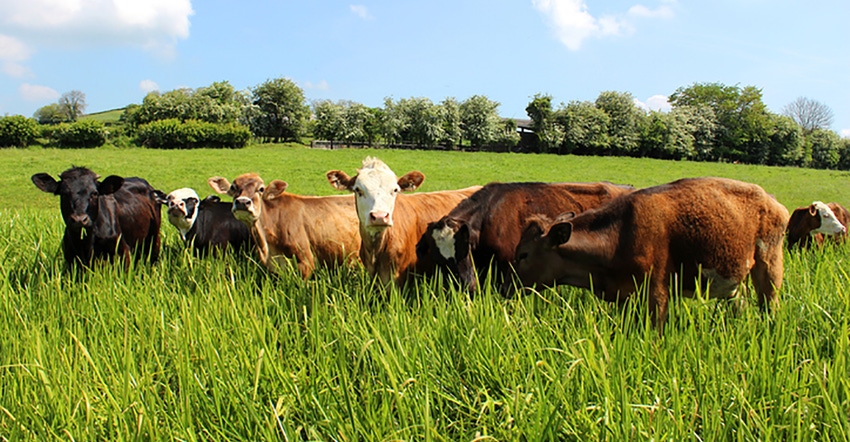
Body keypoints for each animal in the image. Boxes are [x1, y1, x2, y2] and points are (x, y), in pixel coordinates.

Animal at [31, 167, 162, 268]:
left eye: (94, 193)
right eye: (64, 193)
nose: (79, 220)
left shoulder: (123, 253)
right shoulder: (71, 258)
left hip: (154, 240)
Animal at [510, 178, 788, 330]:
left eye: (523, 254)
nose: (505, 286)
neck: (619, 234)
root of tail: (773, 201)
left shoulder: (656, 292)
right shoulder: (625, 296)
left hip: (769, 266)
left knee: (770, 305)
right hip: (732, 279)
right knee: (739, 303)